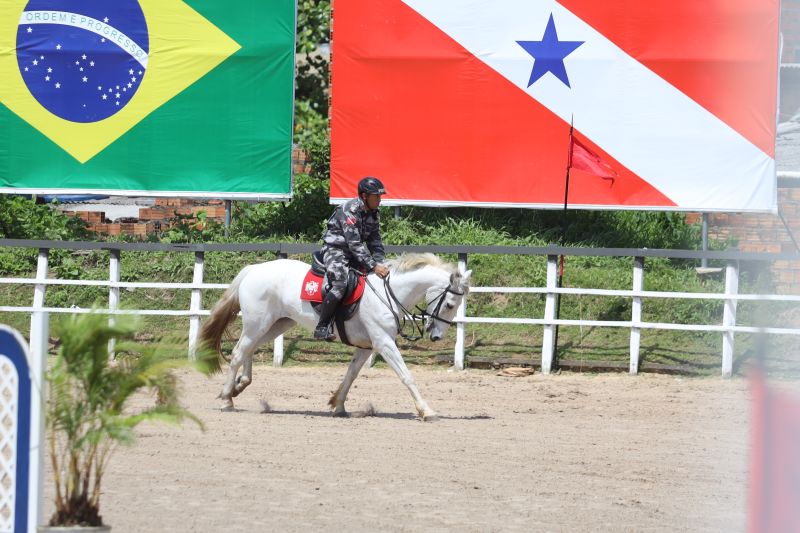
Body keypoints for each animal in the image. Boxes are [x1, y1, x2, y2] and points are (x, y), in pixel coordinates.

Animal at [200, 254, 472, 420]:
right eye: (450, 304)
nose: (436, 337)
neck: (388, 293)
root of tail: (254, 269)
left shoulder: (367, 346)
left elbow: (351, 375)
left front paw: (338, 405)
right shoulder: (384, 343)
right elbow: (407, 376)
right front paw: (426, 410)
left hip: (274, 325)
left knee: (248, 349)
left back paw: (240, 385)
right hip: (259, 323)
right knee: (238, 353)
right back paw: (227, 399)